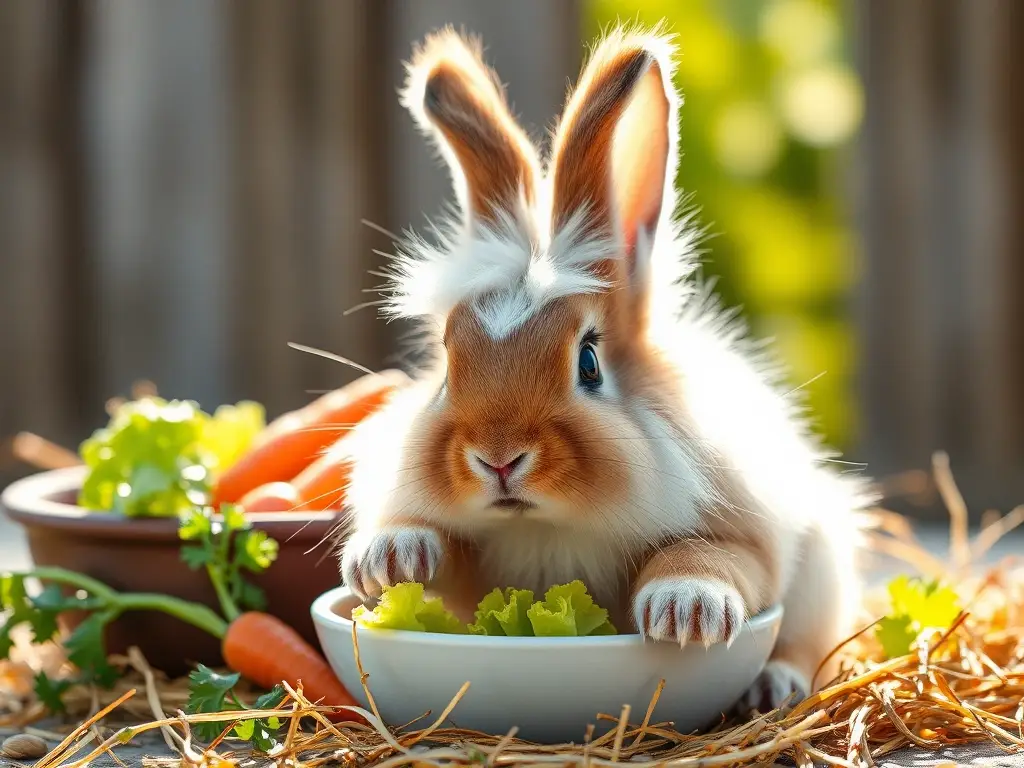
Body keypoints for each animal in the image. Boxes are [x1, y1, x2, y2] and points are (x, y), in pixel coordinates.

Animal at [339, 24, 870, 713]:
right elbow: (445, 562)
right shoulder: (471, 567)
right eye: (448, 366)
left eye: (589, 362)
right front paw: (387, 556)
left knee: (808, 646)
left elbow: (716, 558)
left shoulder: (750, 537)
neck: (550, 527)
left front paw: (685, 607)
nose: (498, 459)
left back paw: (771, 684)